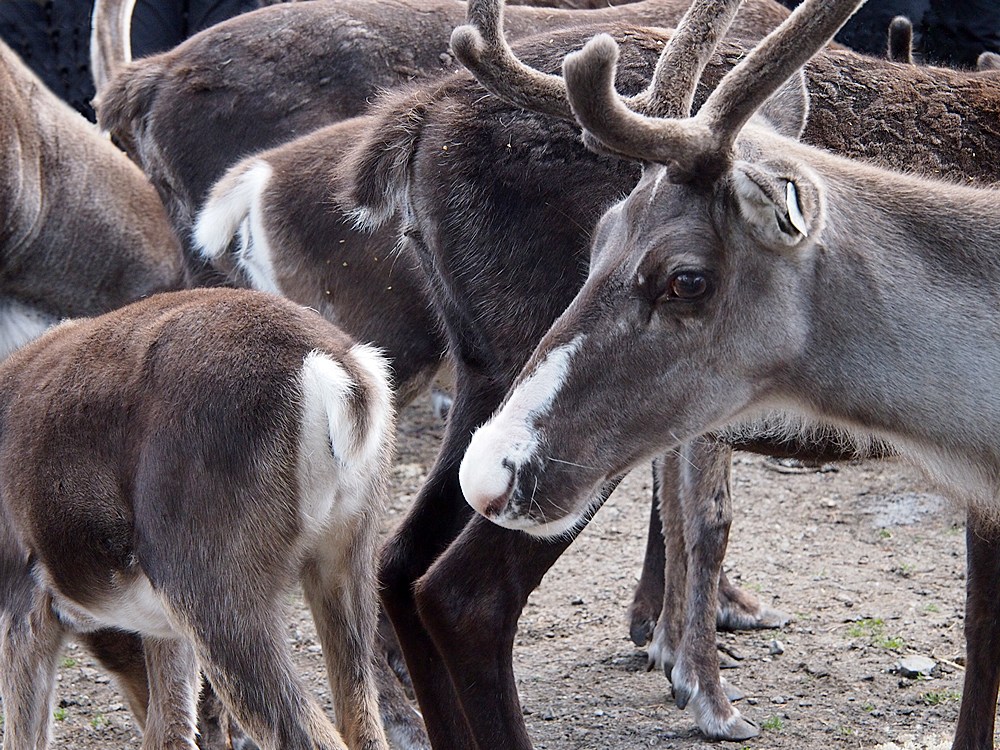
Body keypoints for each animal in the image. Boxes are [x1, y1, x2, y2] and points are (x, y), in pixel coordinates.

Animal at [0, 290, 396, 750]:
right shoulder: (162, 631)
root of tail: (342, 379)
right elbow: (171, 726)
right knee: (361, 716)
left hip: (208, 578)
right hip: (350, 546)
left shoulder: (21, 599)